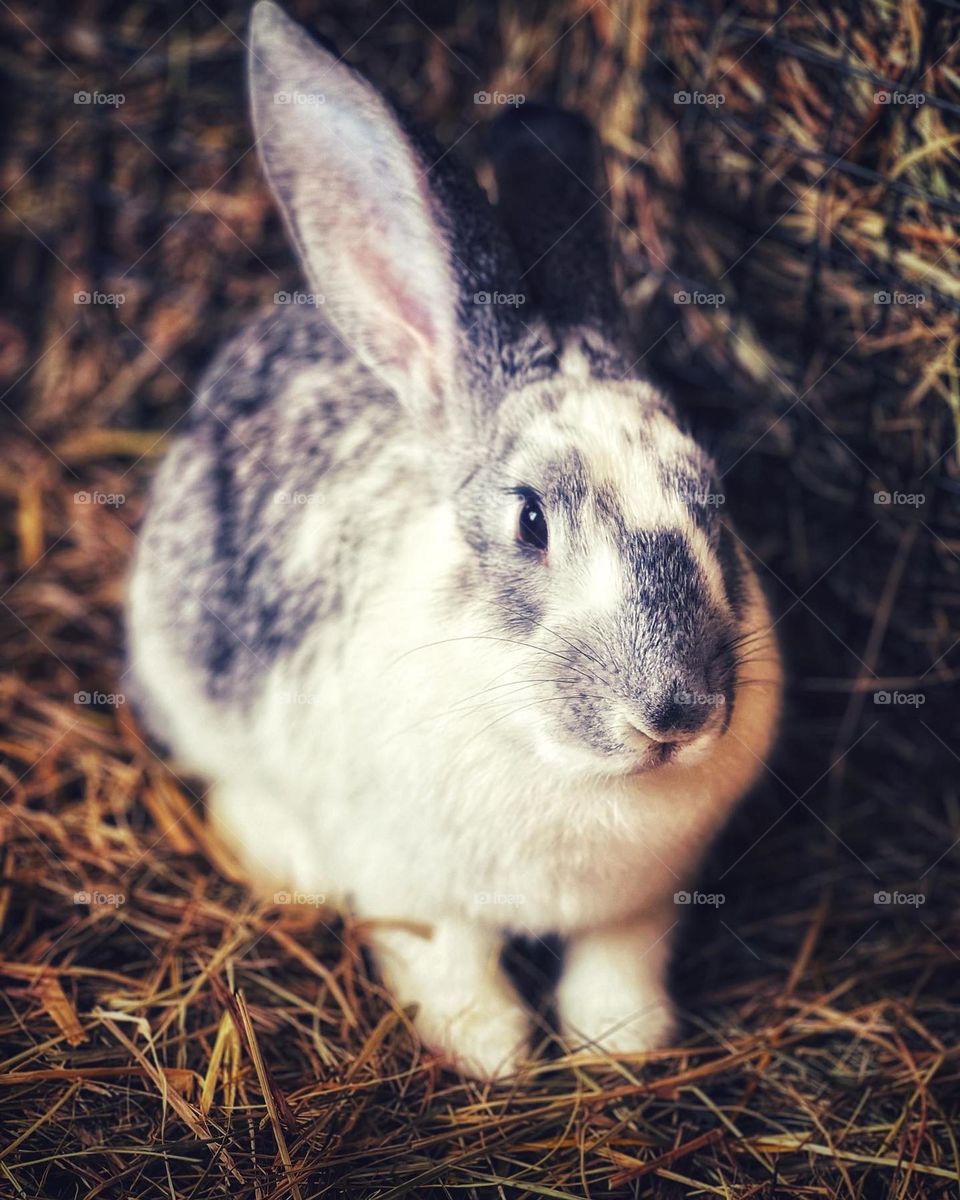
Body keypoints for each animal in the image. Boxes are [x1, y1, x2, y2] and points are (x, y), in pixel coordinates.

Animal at [125, 0, 783, 1080]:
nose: (675, 713)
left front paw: (620, 1045)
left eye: (715, 501)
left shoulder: (641, 904)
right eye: (531, 520)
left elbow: (617, 962)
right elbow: (451, 958)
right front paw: (492, 1053)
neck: (561, 760)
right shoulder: (413, 886)